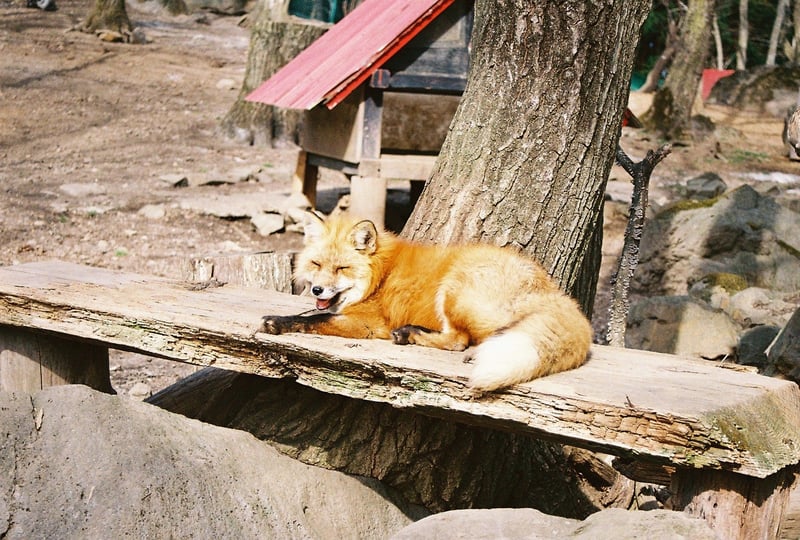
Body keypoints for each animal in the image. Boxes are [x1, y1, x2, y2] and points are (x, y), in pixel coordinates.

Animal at [260, 211, 592, 392]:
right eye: (316, 264)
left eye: (342, 268)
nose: (317, 289)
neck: (380, 274)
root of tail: (555, 292)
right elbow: (311, 313)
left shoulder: (369, 324)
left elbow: (314, 319)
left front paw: (277, 322)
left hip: (454, 289)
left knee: (461, 340)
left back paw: (415, 335)